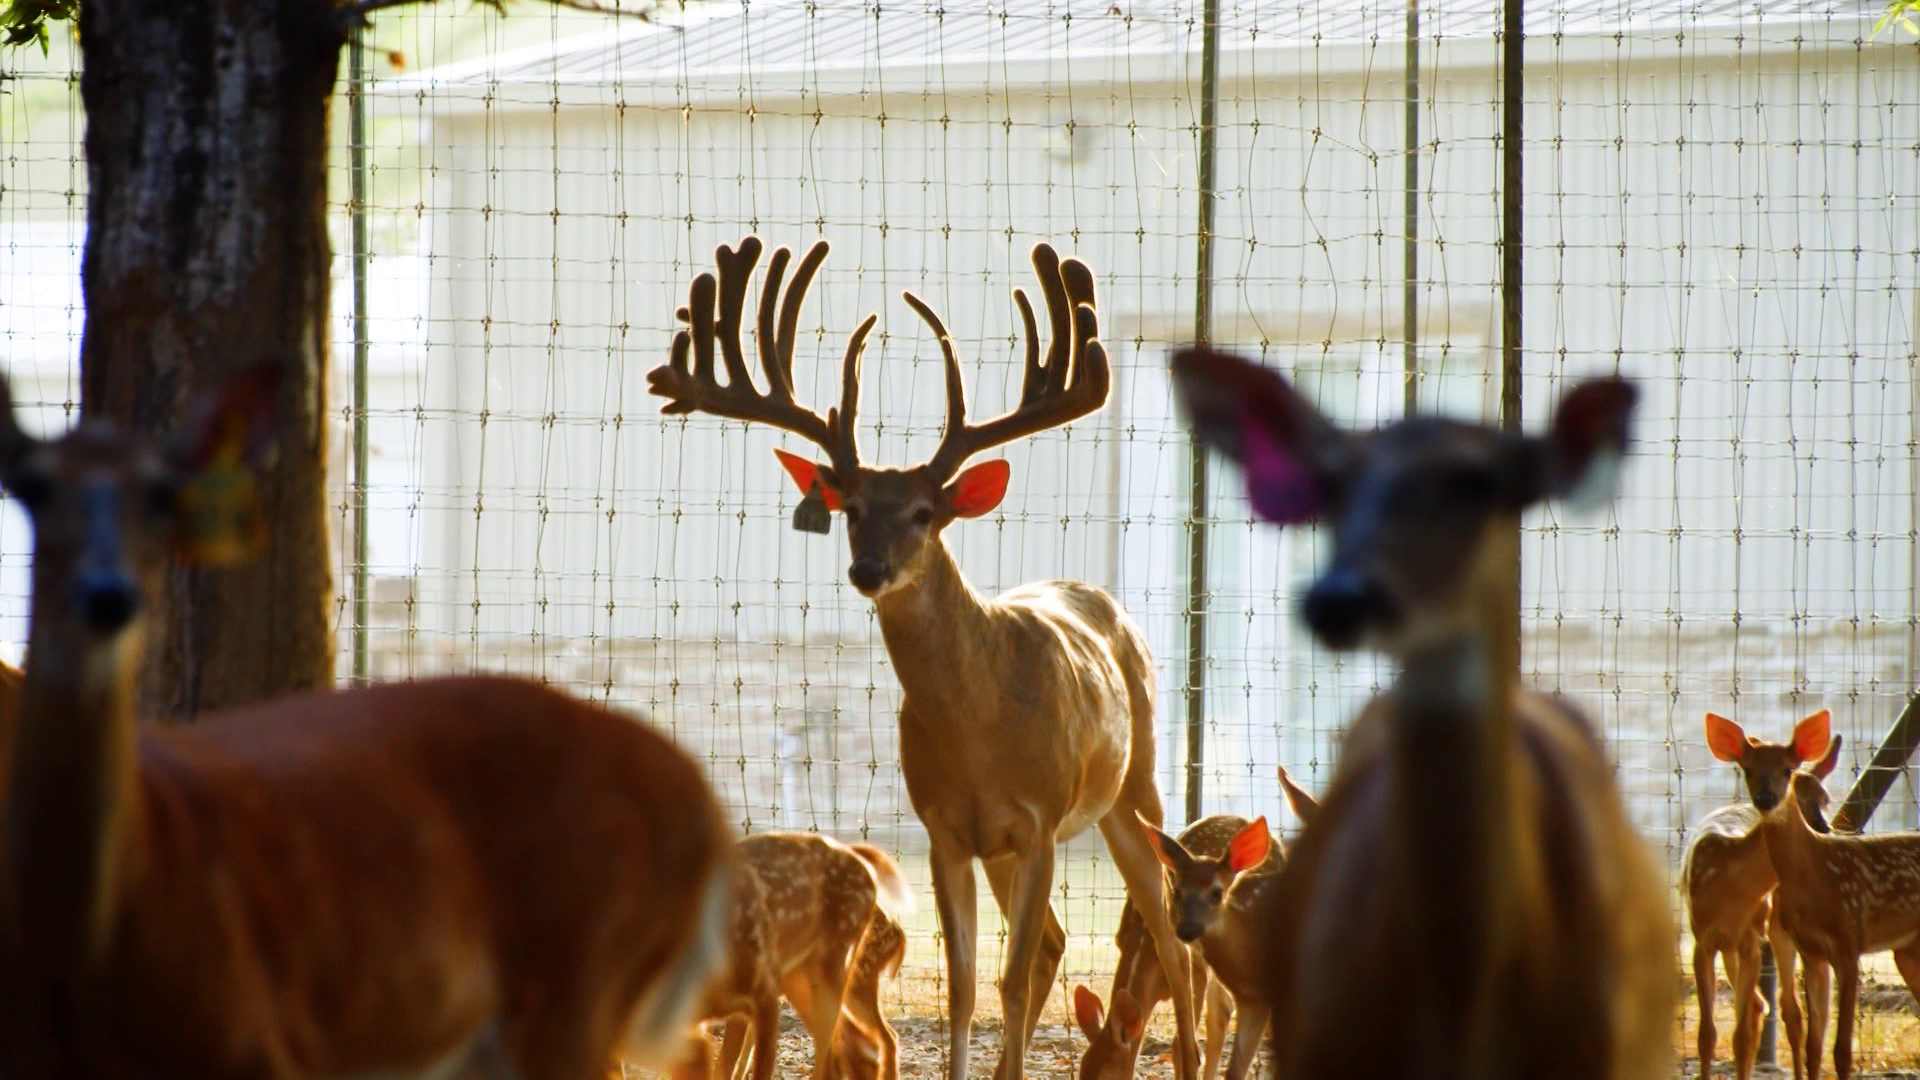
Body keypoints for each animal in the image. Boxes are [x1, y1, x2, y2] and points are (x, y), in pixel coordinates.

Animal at [0, 364, 736, 1080]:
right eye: (31, 487)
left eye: (161, 493)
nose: (107, 595)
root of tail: (706, 805)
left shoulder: (264, 1043)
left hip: (575, 986)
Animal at [647, 234, 1203, 1080]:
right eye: (848, 509)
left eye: (922, 511)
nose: (868, 569)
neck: (979, 729)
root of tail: (1103, 601)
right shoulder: (946, 828)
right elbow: (967, 985)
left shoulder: (1040, 821)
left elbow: (1007, 981)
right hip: (1015, 847)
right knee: (1054, 942)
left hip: (1131, 791)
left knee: (1167, 934)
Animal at [1071, 773, 1318, 1080]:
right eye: (1082, 1068)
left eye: (1108, 1074)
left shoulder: (1192, 960)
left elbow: (1183, 1044)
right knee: (1221, 1014)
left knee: (1220, 1015)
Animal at [1691, 708, 1842, 1080]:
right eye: (1747, 769)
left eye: (1825, 799)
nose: (1823, 827)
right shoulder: (1702, 938)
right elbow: (1707, 1034)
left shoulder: (1750, 937)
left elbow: (1742, 1035)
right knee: (1764, 1006)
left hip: (1780, 927)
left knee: (1791, 1011)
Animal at [1746, 708, 1920, 1080]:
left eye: (1825, 799)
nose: (1825, 828)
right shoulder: (1801, 947)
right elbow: (1808, 1034)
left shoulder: (1848, 944)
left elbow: (1839, 1048)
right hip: (1907, 951)